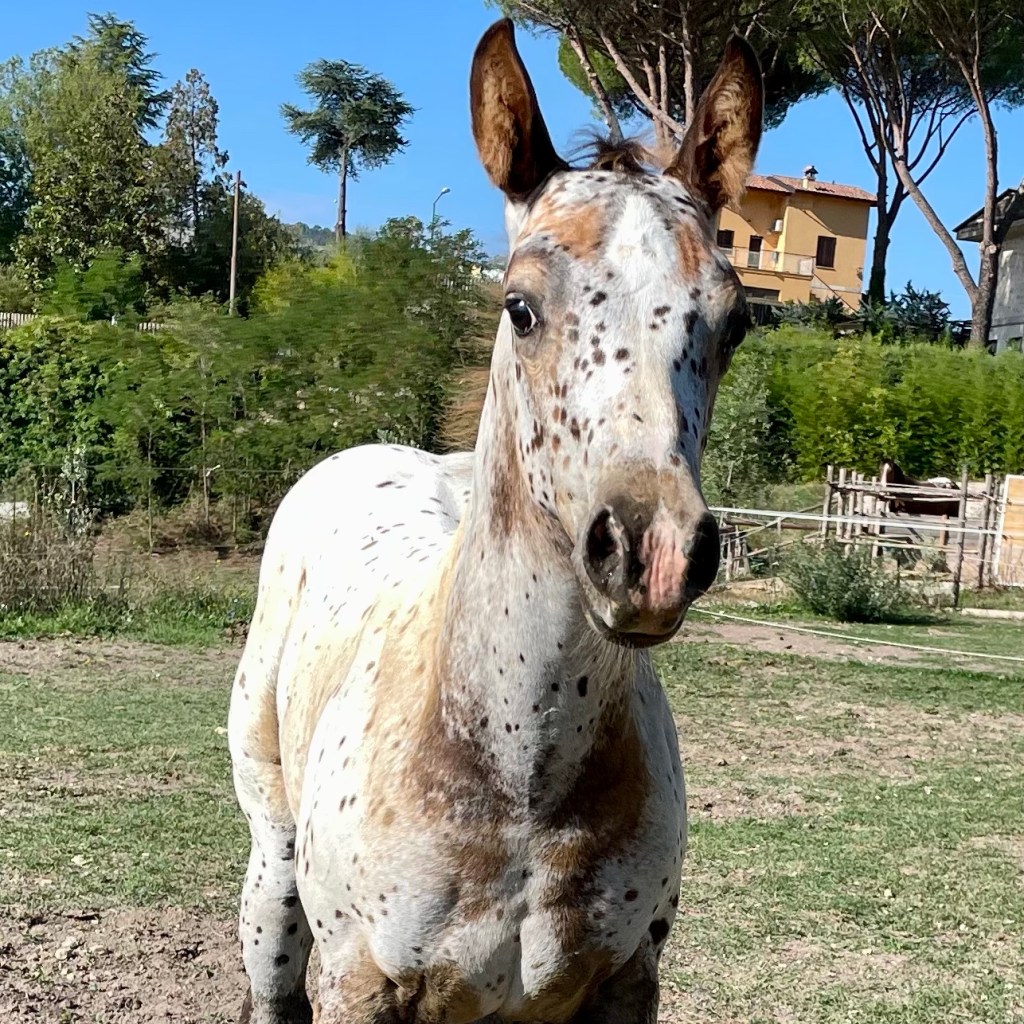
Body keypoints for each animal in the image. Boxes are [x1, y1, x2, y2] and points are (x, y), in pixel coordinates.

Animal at [228, 19, 763, 1024]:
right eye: (520, 306)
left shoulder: (625, 981)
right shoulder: (360, 983)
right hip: (274, 872)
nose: (651, 553)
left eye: (735, 323)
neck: (520, 788)